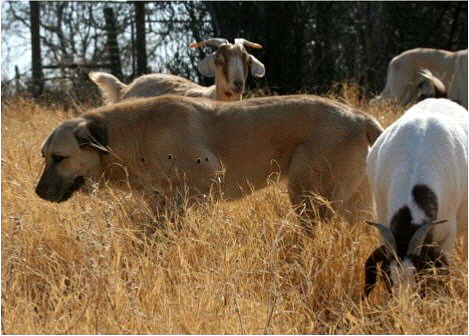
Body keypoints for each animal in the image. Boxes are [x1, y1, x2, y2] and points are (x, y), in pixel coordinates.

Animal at [35, 95, 380, 223]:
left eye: (59, 158)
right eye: (44, 156)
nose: (38, 192)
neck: (132, 135)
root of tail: (360, 117)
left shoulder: (203, 182)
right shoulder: (159, 200)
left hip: (309, 197)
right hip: (354, 204)